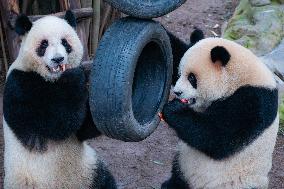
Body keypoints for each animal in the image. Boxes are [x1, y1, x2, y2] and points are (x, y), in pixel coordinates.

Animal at [3, 10, 116, 189]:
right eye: (43, 45)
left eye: (65, 43)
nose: (58, 59)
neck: (52, 80)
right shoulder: (19, 85)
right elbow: (55, 124)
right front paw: (75, 77)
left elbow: (83, 127)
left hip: (88, 172)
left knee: (105, 181)